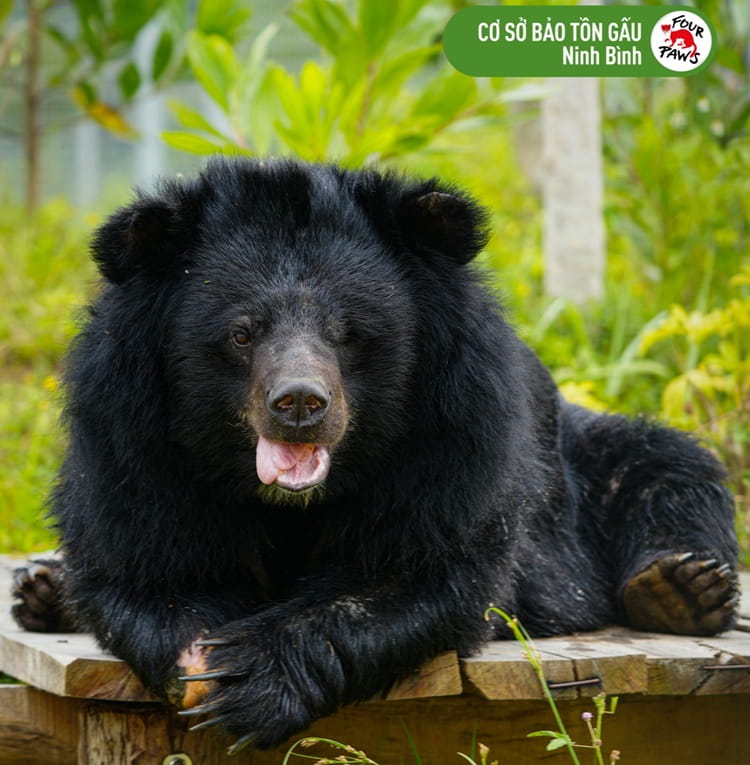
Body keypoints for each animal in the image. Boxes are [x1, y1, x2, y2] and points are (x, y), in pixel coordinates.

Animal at [12, 157, 738, 751]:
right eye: (242, 334)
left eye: (348, 333)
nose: (299, 403)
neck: (291, 498)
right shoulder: (131, 443)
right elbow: (153, 568)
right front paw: (202, 662)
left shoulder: (454, 436)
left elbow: (409, 572)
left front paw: (251, 675)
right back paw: (43, 590)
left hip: (588, 460)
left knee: (669, 465)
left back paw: (679, 588)